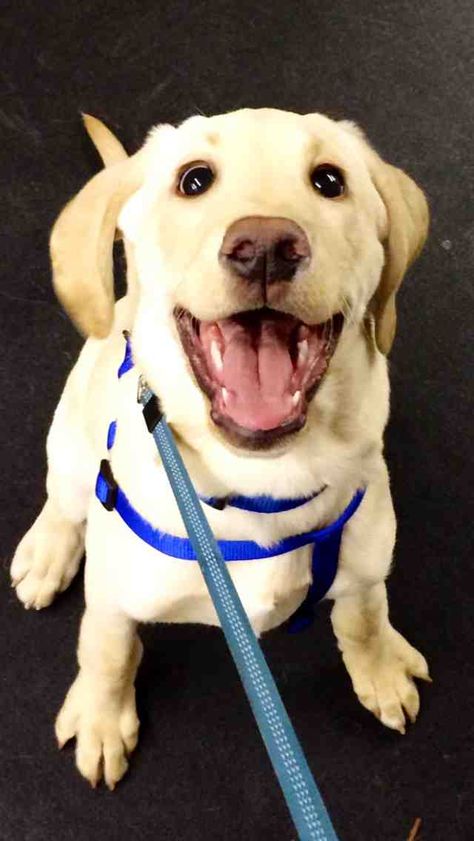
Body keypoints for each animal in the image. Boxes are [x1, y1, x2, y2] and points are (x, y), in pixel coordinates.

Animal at [9, 110, 432, 788]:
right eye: (194, 180)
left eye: (329, 180)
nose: (265, 246)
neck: (260, 487)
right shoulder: (112, 595)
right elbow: (107, 650)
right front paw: (101, 717)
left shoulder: (367, 560)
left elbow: (364, 614)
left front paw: (380, 667)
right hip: (71, 442)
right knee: (65, 499)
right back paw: (47, 552)